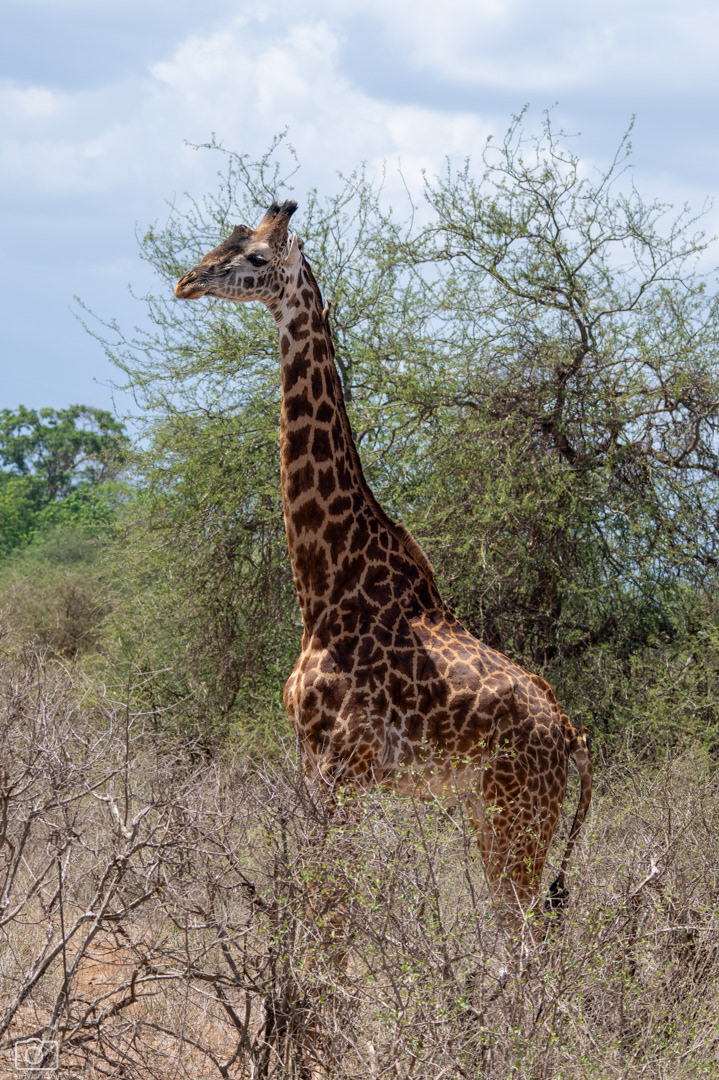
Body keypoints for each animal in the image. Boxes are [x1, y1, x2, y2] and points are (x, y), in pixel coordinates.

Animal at [175, 198, 593, 921]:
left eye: (255, 256)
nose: (186, 282)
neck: (325, 580)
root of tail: (570, 735)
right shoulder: (320, 767)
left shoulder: (338, 768)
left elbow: (328, 915)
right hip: (490, 812)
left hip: (519, 811)